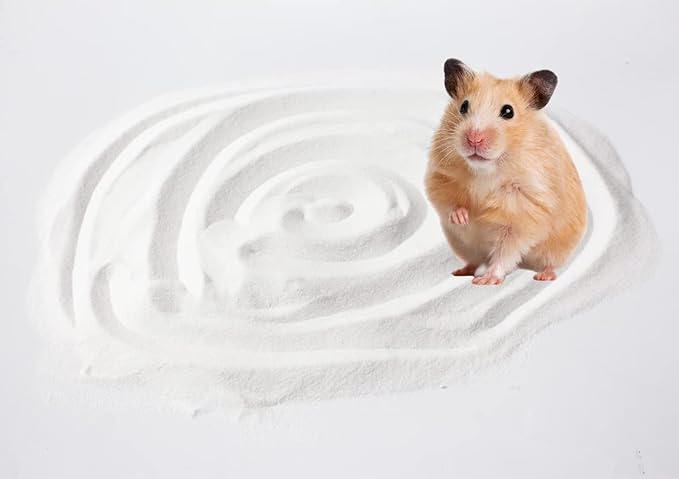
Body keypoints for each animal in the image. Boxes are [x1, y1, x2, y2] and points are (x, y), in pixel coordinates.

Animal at [425, 59, 587, 285]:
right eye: (464, 106)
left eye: (508, 111)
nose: (474, 139)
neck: (485, 169)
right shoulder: (439, 175)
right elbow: (447, 200)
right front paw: (463, 217)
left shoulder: (524, 210)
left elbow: (505, 250)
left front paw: (487, 280)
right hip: (463, 245)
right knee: (474, 260)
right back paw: (461, 271)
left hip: (557, 248)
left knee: (548, 262)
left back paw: (543, 276)